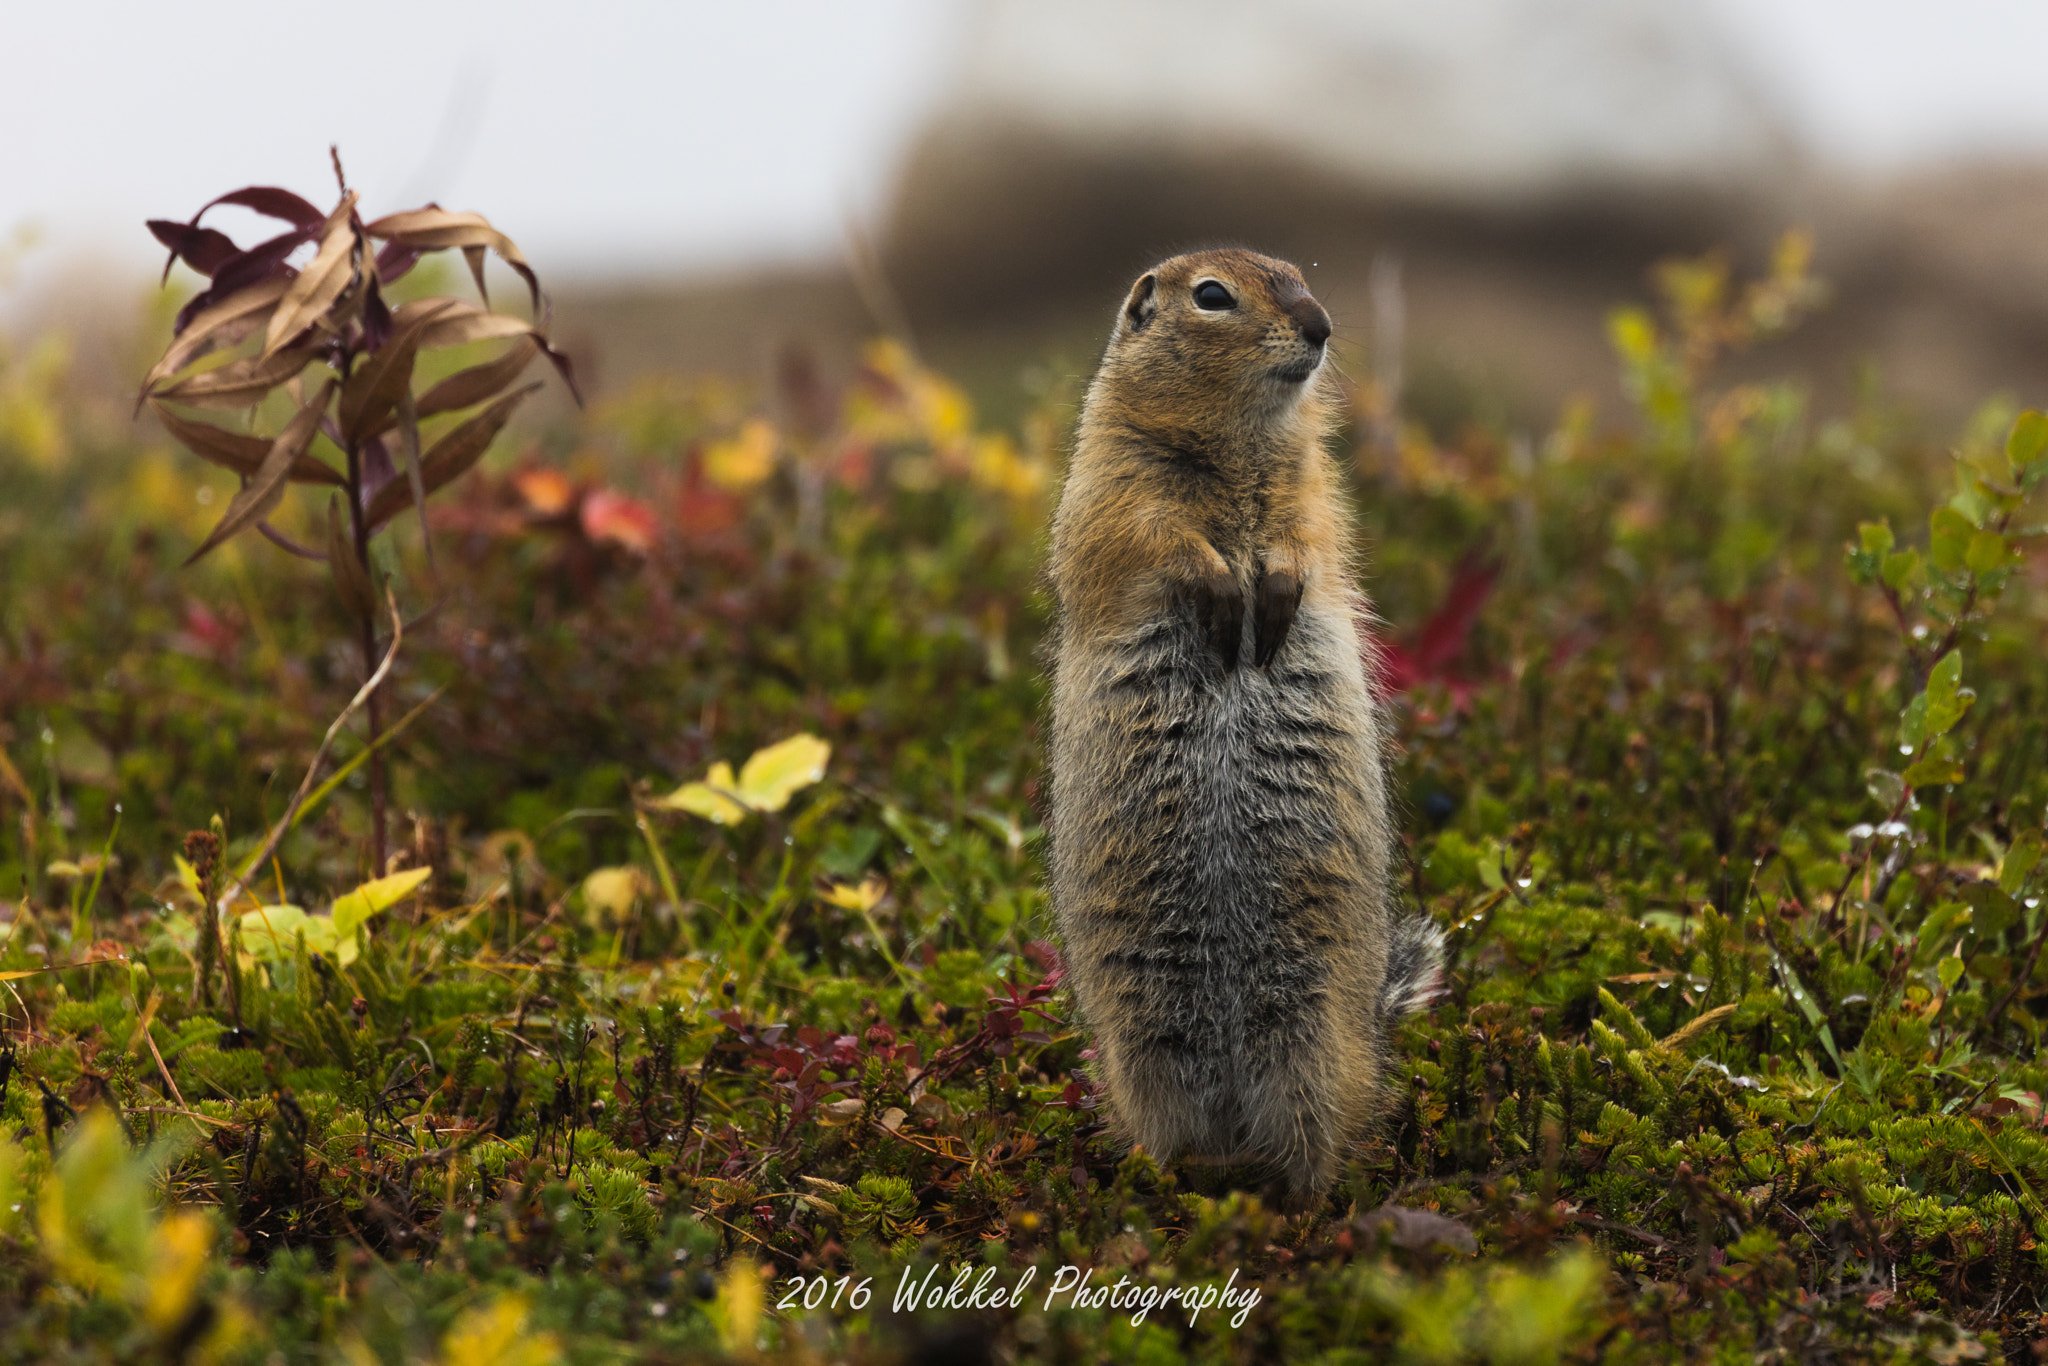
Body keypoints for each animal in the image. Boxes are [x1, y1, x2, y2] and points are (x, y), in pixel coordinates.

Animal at [1046, 247, 1444, 1211]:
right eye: (1212, 296)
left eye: (1300, 273)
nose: (1322, 325)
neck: (1237, 445)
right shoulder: (1112, 478)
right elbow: (1147, 535)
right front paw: (1223, 590)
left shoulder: (1316, 488)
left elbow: (1311, 540)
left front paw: (1276, 590)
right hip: (1142, 1049)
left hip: (1313, 1039)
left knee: (1319, 1143)